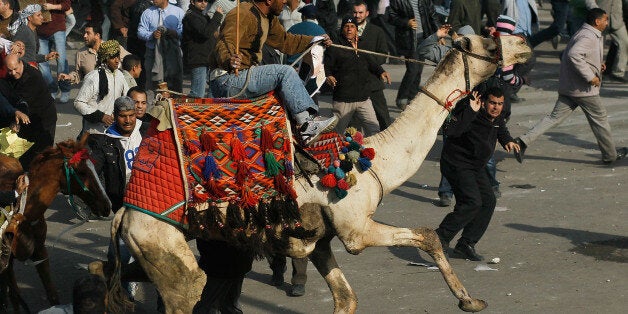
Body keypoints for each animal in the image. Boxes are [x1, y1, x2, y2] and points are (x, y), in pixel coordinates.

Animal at [0, 134, 111, 312]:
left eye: (94, 168)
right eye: (81, 172)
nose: (107, 206)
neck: (25, 211)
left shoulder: (40, 251)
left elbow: (52, 294)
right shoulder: (7, 260)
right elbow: (15, 297)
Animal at [97, 34, 528, 314]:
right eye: (491, 45)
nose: (522, 43)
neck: (375, 162)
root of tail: (124, 214)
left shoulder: (319, 238)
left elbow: (346, 299)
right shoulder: (356, 229)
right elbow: (426, 235)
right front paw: (469, 300)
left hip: (153, 249)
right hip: (162, 243)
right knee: (189, 290)